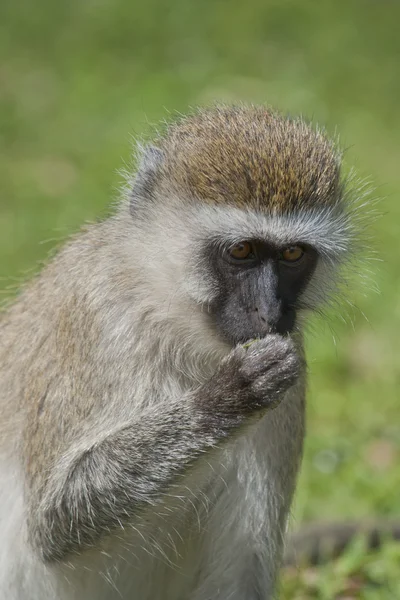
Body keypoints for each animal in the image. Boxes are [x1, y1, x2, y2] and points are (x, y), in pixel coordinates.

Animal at [0, 105, 360, 596]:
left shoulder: (293, 360)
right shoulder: (94, 319)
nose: (269, 311)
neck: (170, 310)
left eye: (292, 255)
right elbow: (53, 523)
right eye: (242, 250)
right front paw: (227, 396)